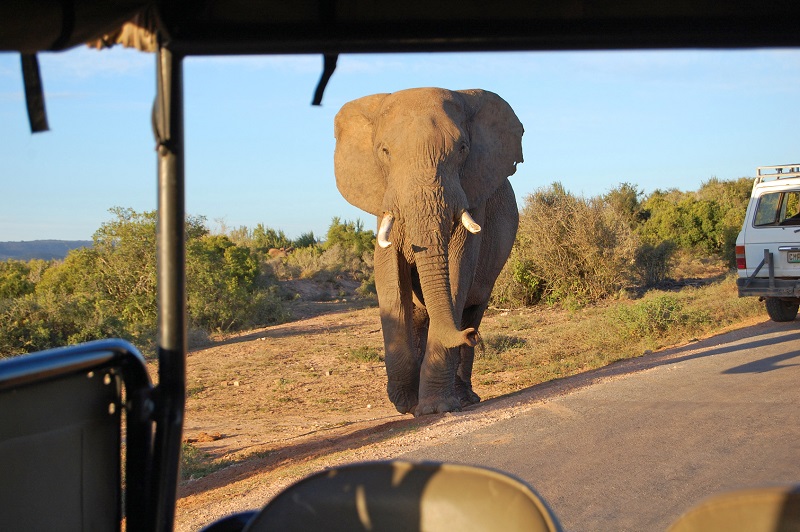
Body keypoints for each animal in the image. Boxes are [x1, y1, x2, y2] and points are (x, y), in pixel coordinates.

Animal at [334, 87, 524, 416]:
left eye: (462, 149)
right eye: (385, 152)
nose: (471, 338)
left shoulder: (472, 195)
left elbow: (458, 270)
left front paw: (435, 409)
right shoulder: (384, 199)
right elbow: (389, 275)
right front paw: (406, 404)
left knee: (473, 307)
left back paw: (463, 397)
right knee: (420, 314)